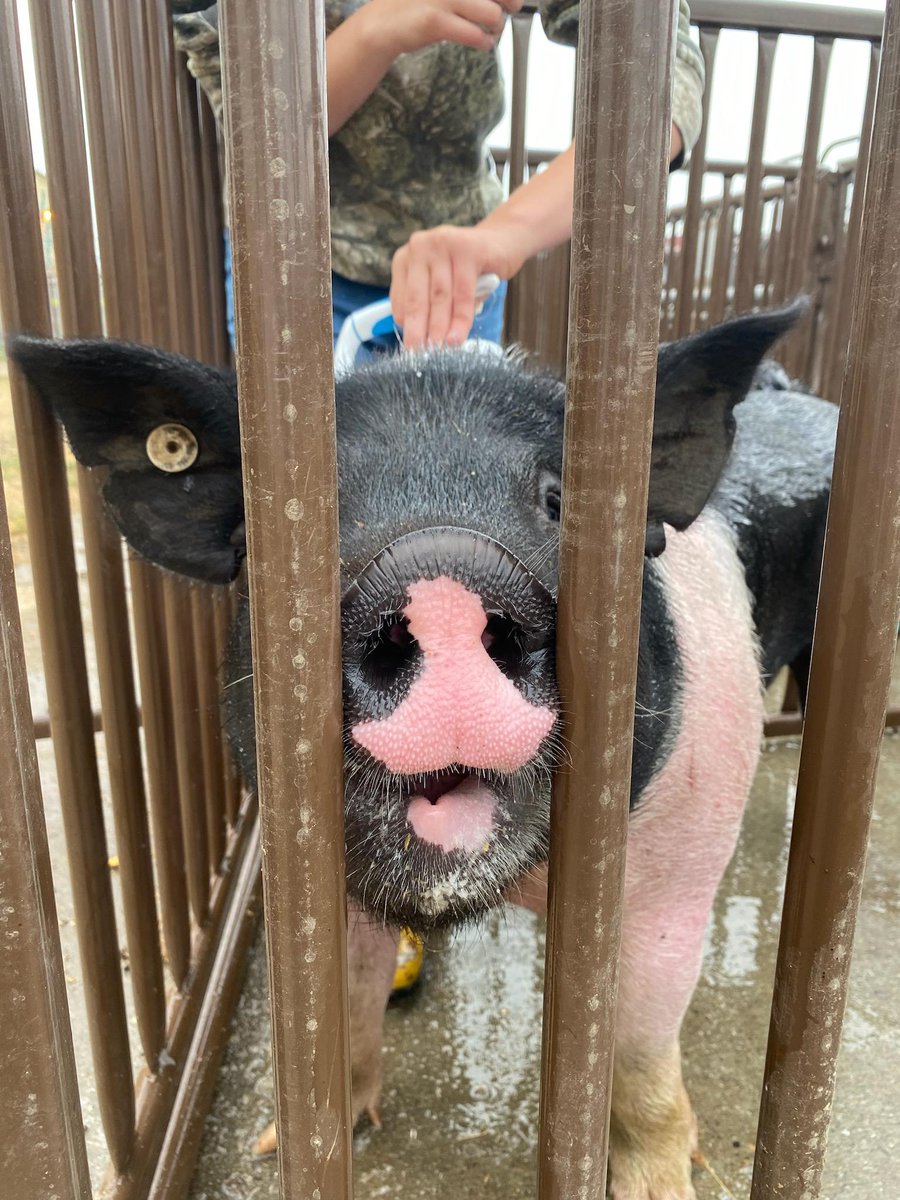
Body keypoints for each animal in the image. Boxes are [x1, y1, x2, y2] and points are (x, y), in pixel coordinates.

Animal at [9, 304, 837, 1200]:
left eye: (558, 501)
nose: (441, 581)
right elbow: (349, 1004)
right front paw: (277, 1144)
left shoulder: (678, 859)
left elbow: (641, 1049)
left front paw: (658, 1186)